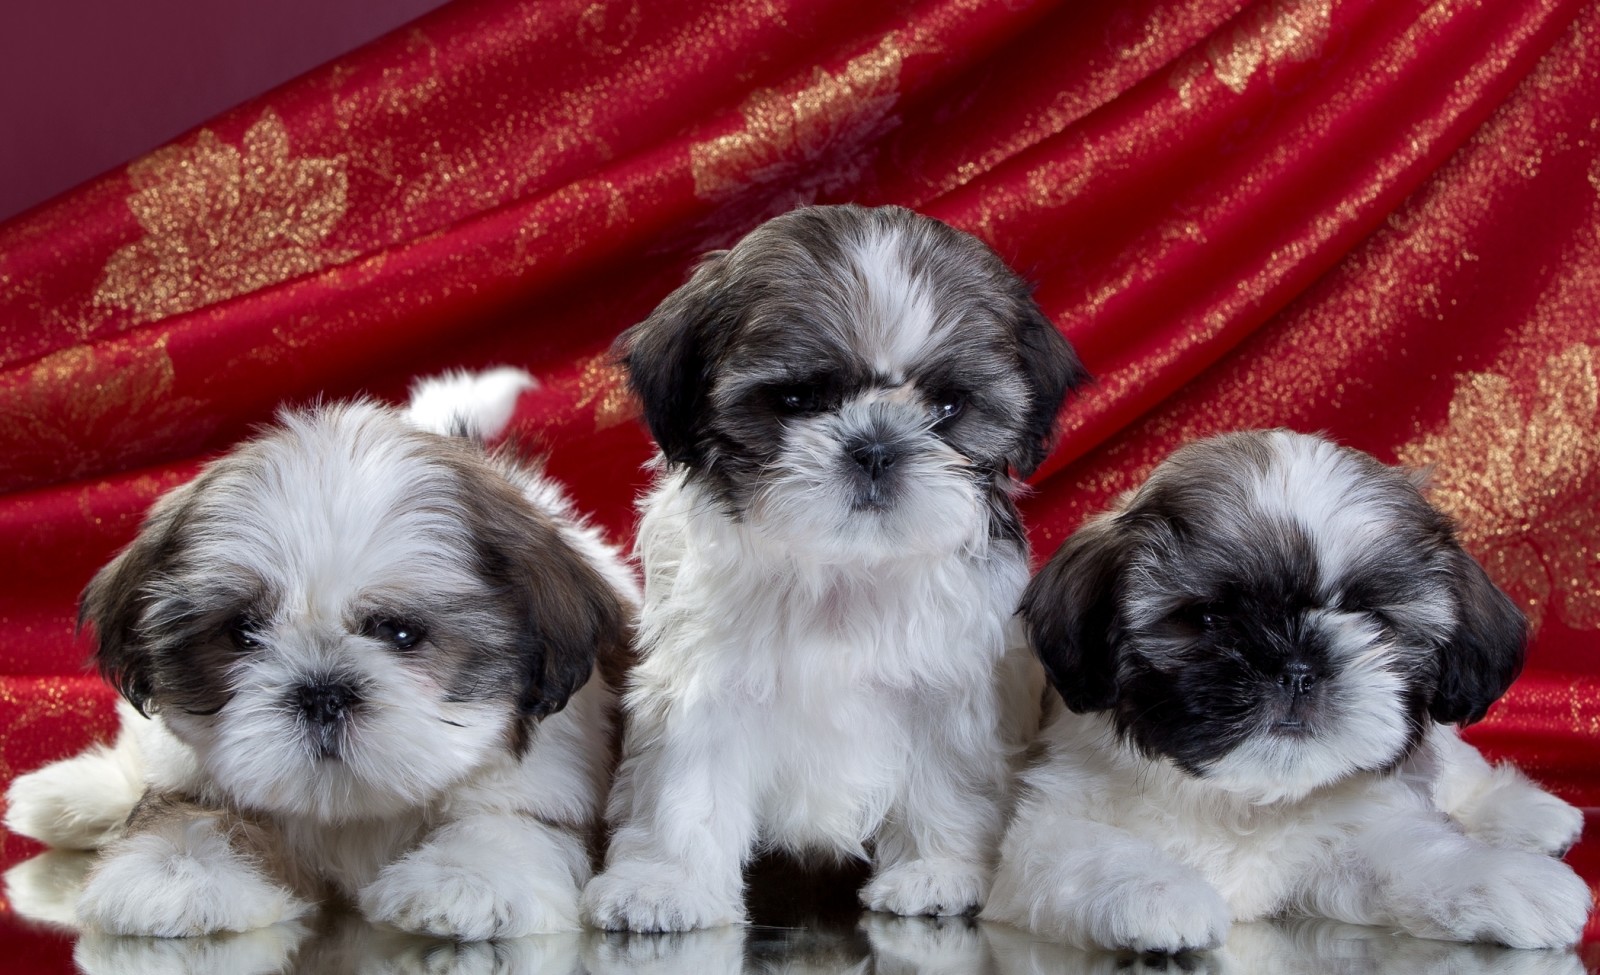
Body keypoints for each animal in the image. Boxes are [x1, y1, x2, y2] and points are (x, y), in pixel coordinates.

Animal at [6, 368, 643, 941]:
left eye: (402, 634)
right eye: (241, 633)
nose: (322, 693)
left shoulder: (552, 777)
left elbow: (509, 824)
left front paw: (466, 878)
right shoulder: (195, 773)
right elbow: (192, 812)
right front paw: (175, 872)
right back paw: (69, 797)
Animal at [576, 203, 1088, 928]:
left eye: (948, 406)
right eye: (797, 399)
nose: (874, 446)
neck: (844, 565)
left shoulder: (950, 689)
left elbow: (947, 780)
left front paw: (936, 871)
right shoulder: (703, 686)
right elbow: (686, 788)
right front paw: (663, 884)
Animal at [979, 429, 1593, 947]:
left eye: (1372, 618)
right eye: (1208, 618)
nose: (1297, 667)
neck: (1243, 800)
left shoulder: (1355, 834)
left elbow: (1418, 854)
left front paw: (1502, 879)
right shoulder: (1041, 836)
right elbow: (1085, 852)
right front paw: (1160, 892)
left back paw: (1526, 814)